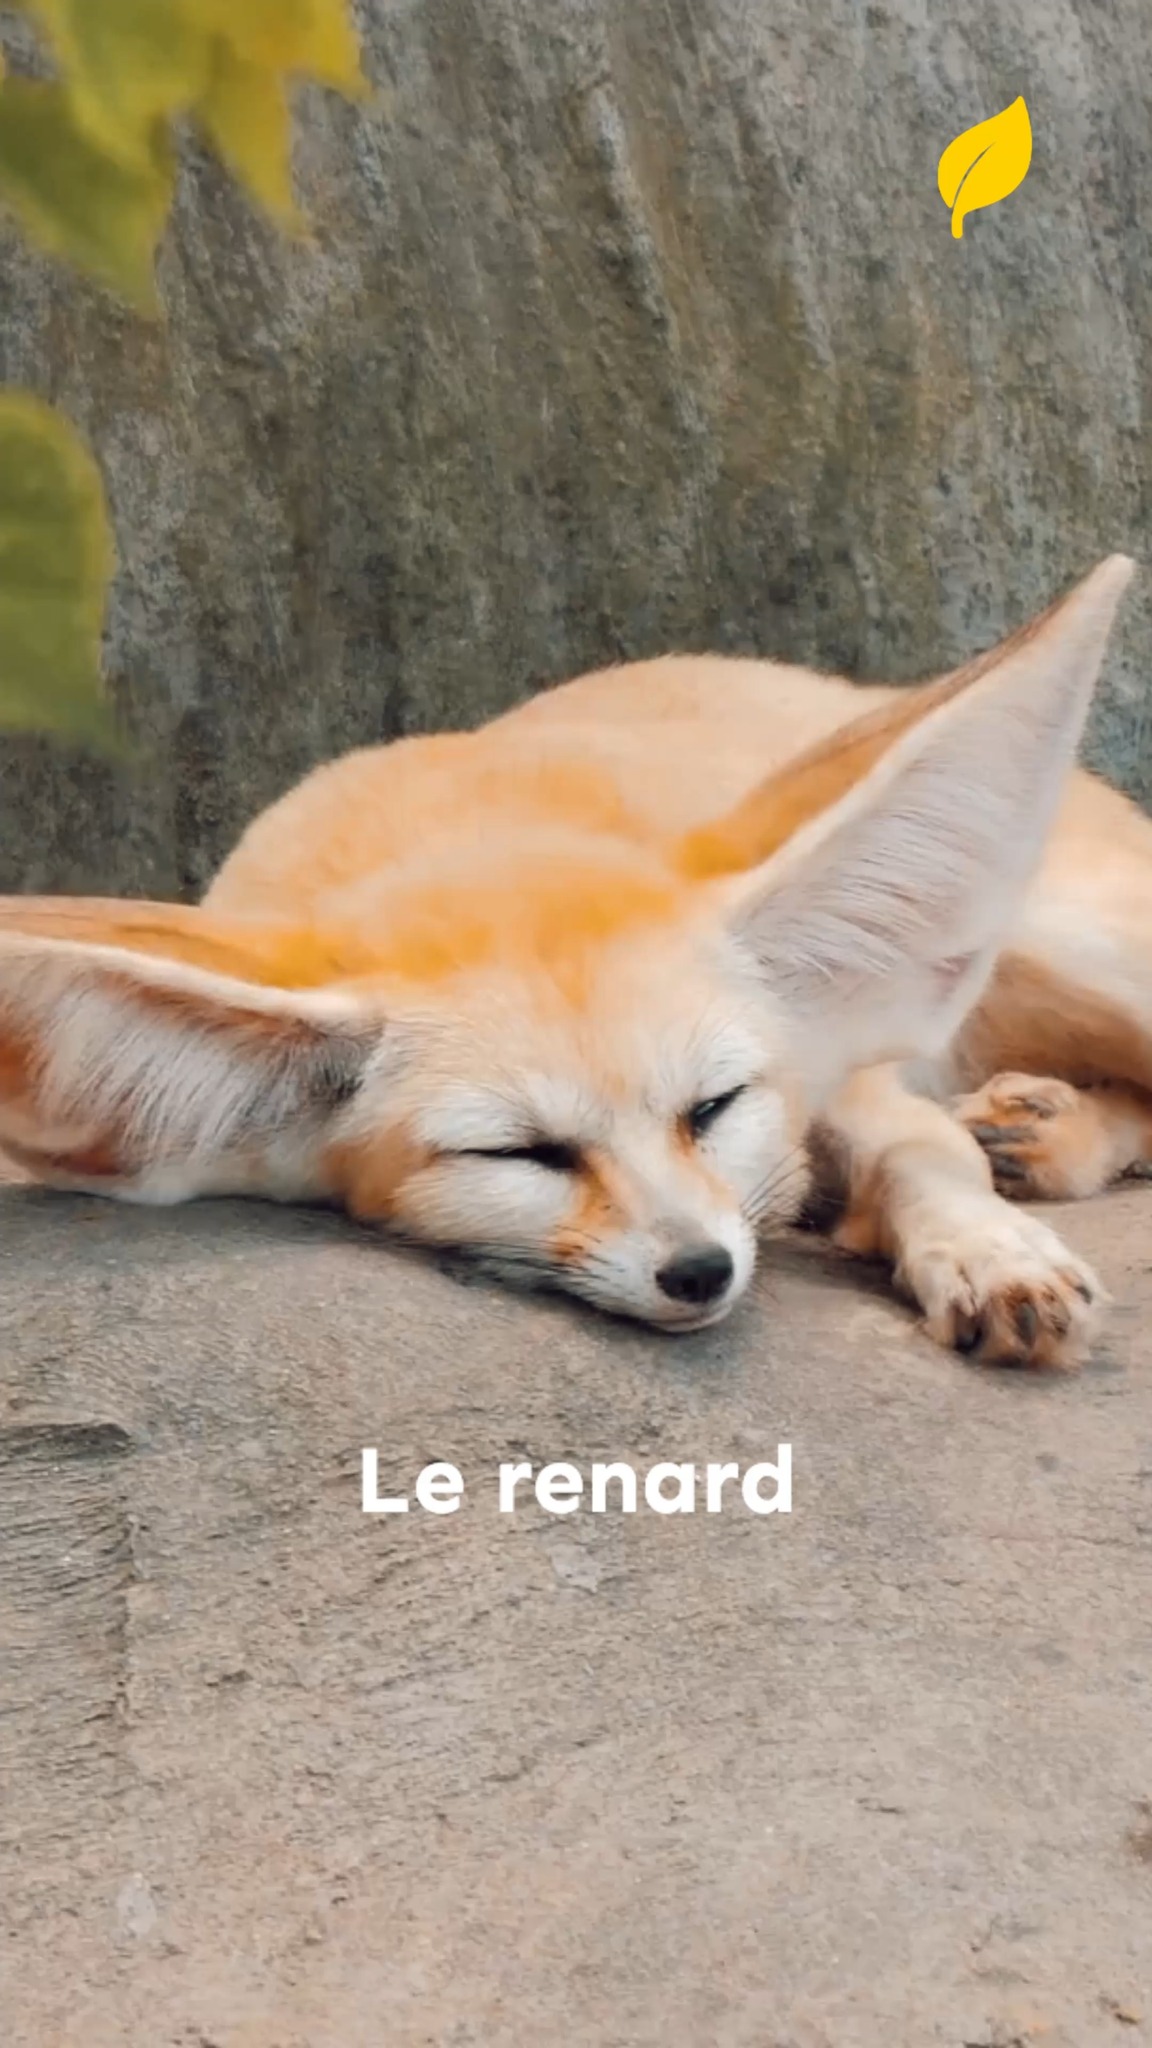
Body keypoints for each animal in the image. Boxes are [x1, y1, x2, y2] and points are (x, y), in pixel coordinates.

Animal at [0, 553, 1149, 1368]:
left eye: (712, 1107)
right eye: (523, 1154)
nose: (700, 1270)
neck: (464, 818)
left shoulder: (828, 1064)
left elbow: (917, 1147)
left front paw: (987, 1249)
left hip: (1071, 947)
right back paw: (1051, 1126)